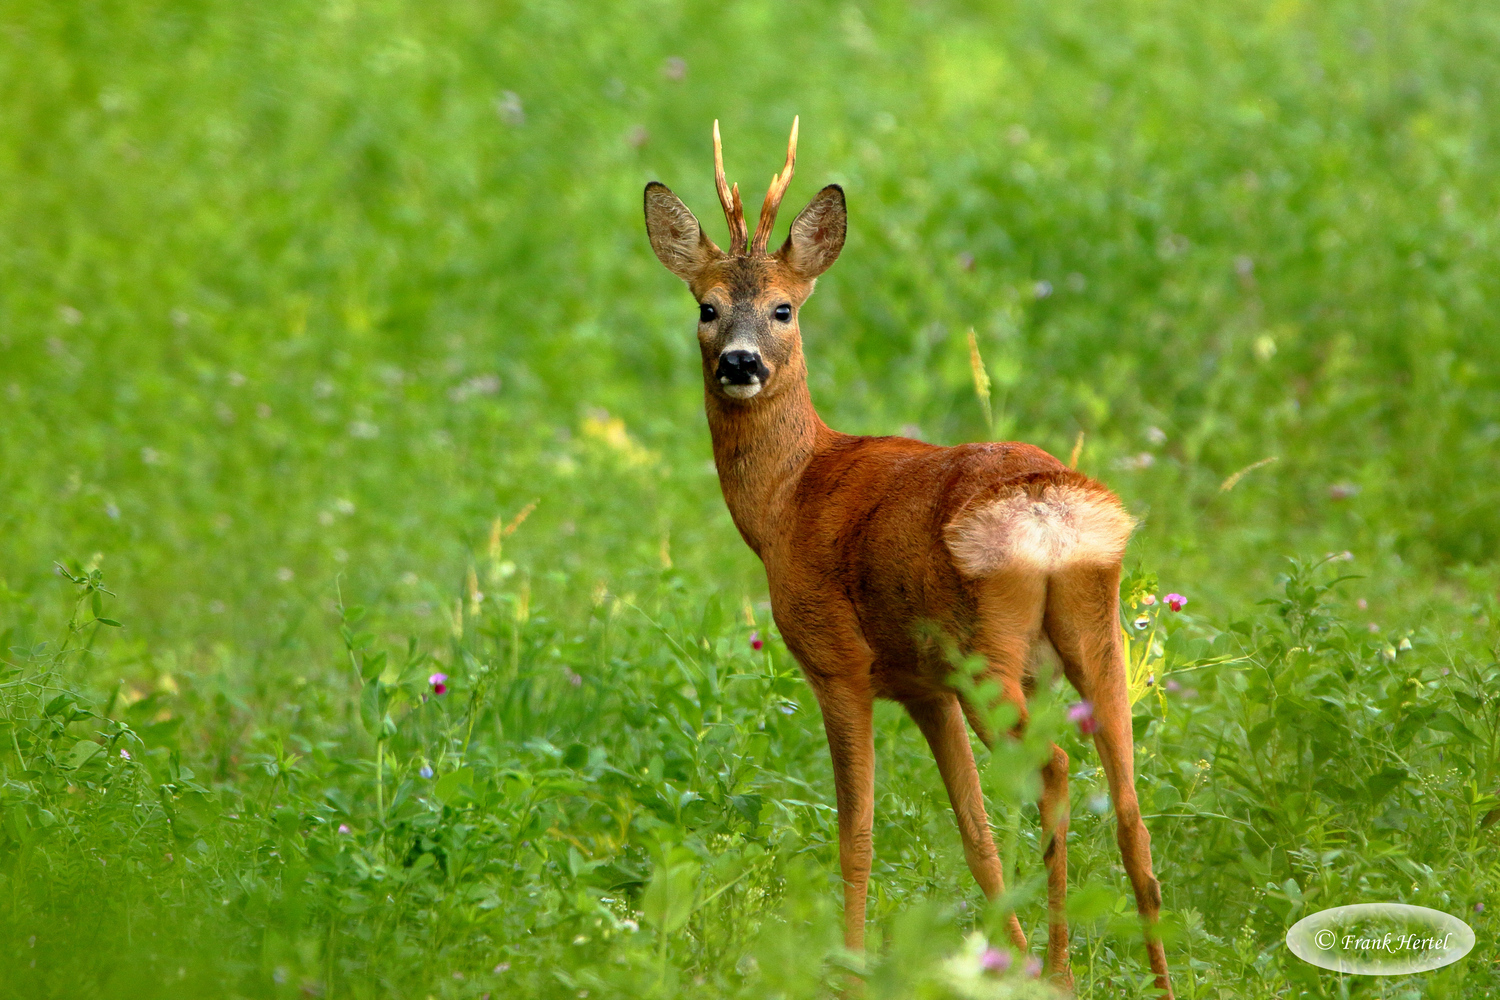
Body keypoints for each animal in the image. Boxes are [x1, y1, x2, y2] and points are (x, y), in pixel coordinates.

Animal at [642, 117, 1170, 995]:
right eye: (707, 307)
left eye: (784, 309)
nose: (740, 363)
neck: (787, 496)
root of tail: (1047, 508)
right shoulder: (923, 687)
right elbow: (976, 838)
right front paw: (999, 959)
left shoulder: (837, 660)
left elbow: (856, 835)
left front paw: (852, 968)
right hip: (1097, 634)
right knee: (1130, 805)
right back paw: (1148, 976)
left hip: (988, 653)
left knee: (1056, 768)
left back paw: (1062, 971)